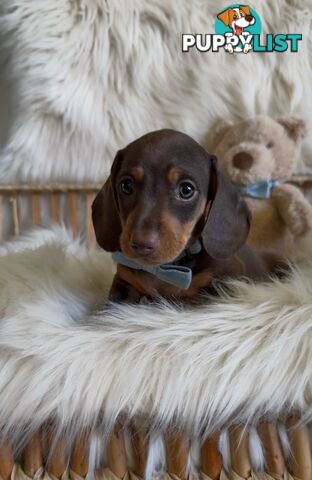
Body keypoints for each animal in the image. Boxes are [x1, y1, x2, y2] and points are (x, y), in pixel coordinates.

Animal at [91, 127, 286, 300]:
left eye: (186, 190)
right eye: (126, 185)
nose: (141, 244)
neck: (164, 269)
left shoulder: (225, 283)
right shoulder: (123, 283)